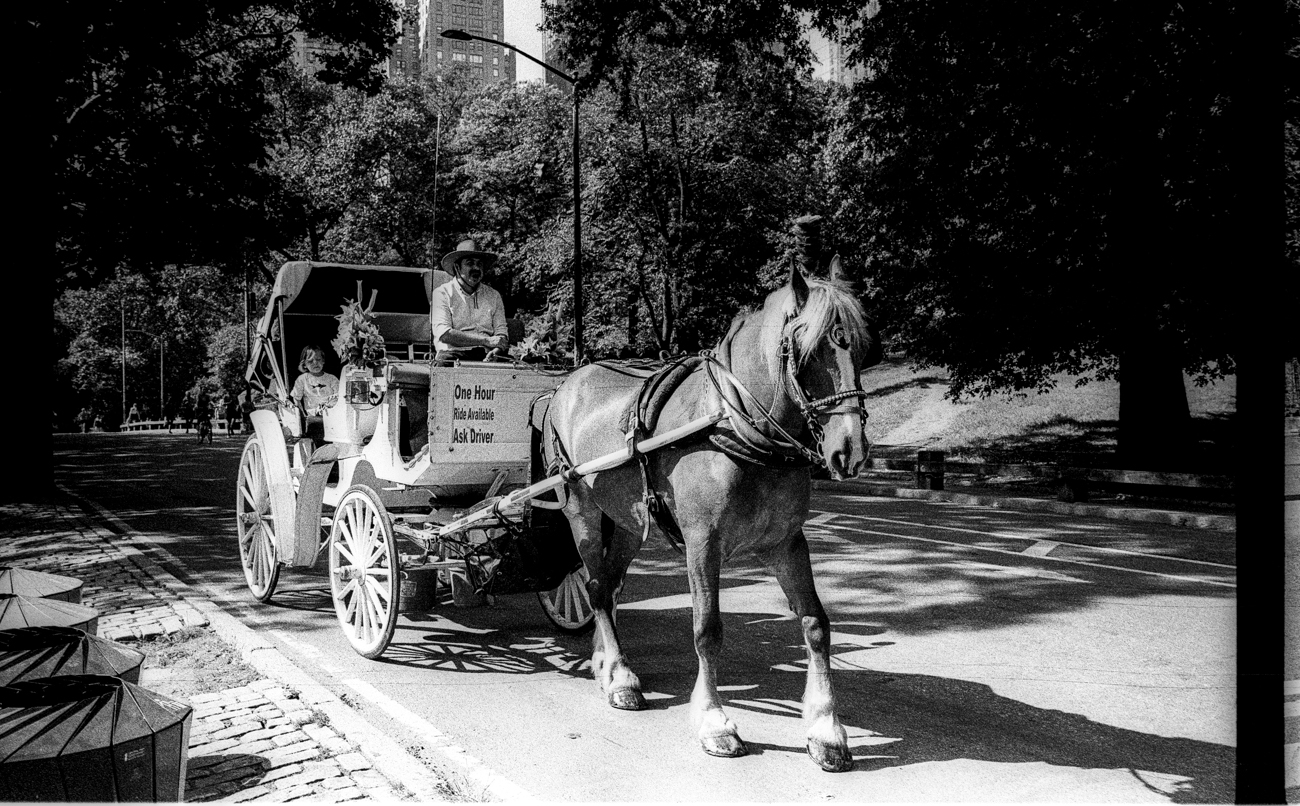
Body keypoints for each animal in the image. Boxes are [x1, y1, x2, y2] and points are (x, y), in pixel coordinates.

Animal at [538, 256, 883, 769]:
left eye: (861, 348)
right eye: (808, 351)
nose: (851, 451)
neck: (736, 424)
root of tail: (565, 384)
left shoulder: (786, 542)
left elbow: (815, 624)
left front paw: (826, 729)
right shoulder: (703, 543)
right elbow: (707, 630)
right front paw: (714, 721)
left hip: (629, 520)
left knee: (610, 586)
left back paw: (608, 665)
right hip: (579, 507)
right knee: (597, 588)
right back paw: (618, 674)